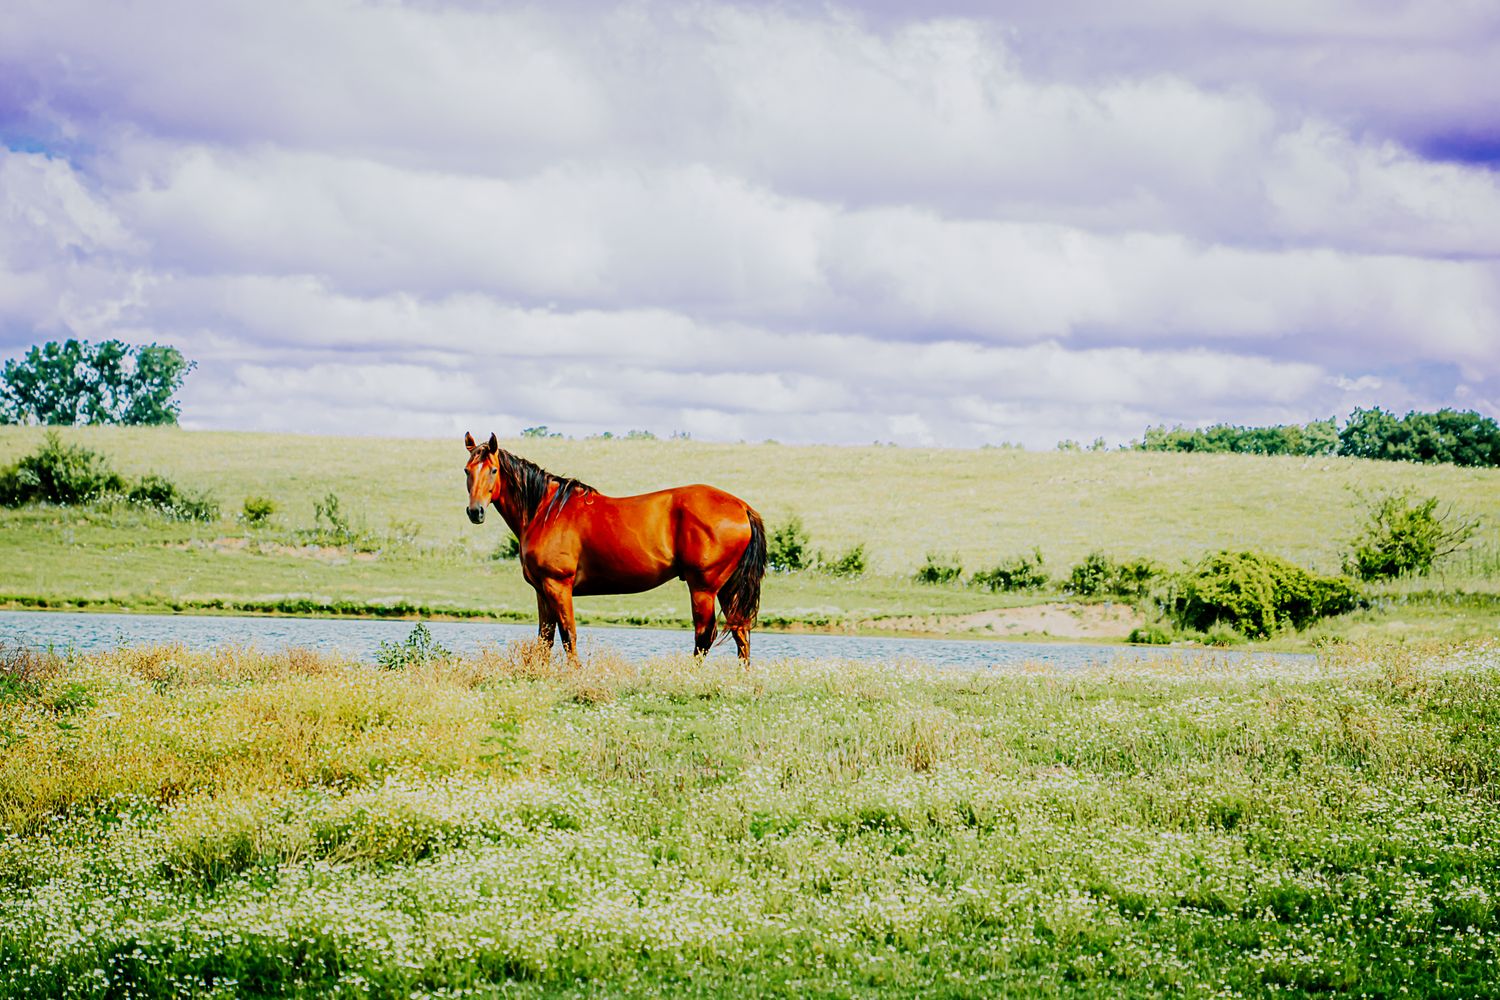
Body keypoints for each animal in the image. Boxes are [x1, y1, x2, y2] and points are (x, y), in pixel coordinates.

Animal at [462, 432, 766, 661]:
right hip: (727, 587)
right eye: (467, 470)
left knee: (705, 635)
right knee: (741, 630)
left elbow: (568, 635)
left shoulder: (558, 585)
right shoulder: (541, 589)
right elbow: (544, 638)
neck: (545, 512)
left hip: (703, 587)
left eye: (493, 470)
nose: (475, 512)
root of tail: (742, 507)